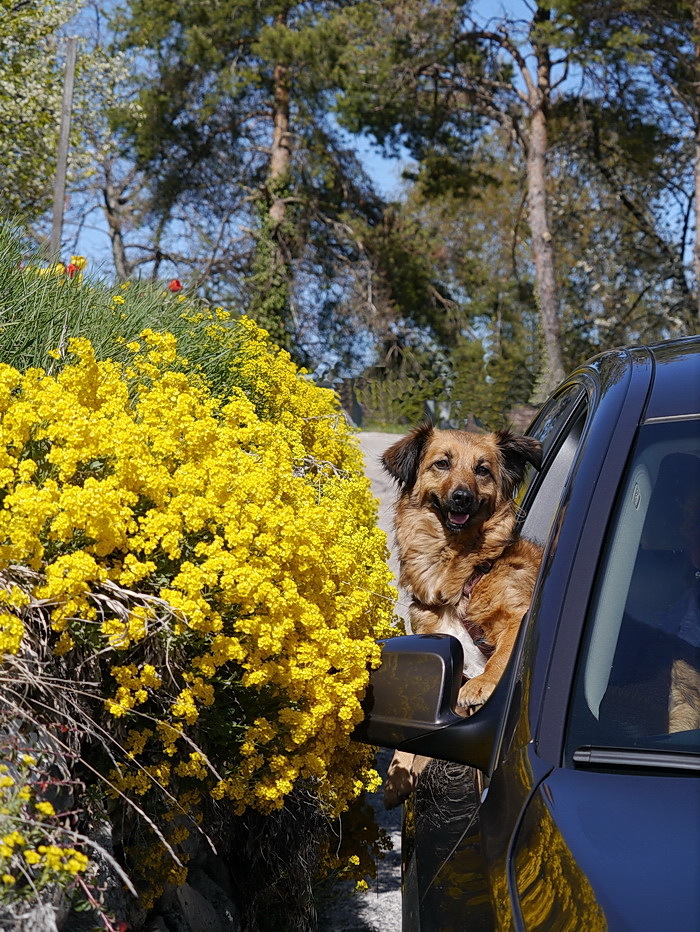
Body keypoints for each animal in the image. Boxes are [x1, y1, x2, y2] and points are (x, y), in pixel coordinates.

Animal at [382, 424, 540, 808]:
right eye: (442, 463)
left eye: (482, 470)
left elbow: (503, 653)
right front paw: (397, 775)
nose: (462, 498)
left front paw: (483, 684)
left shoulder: (520, 613)